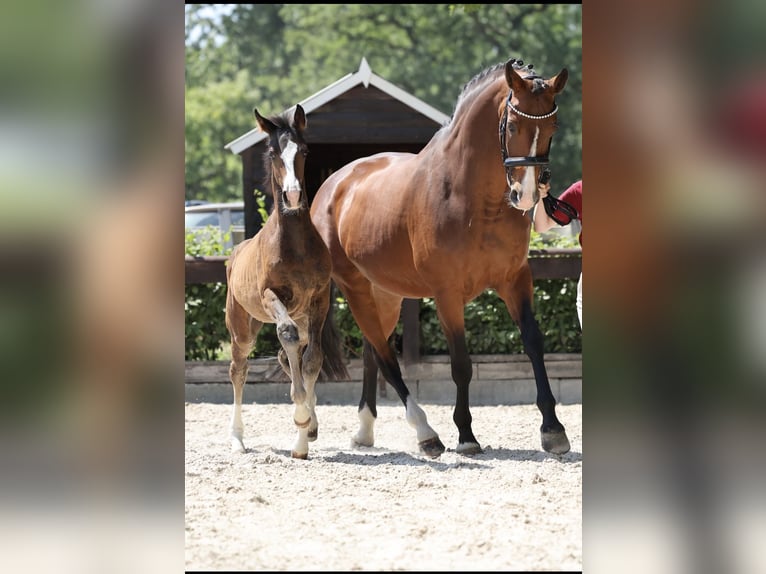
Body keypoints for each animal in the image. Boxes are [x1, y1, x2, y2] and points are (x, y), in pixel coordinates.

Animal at [225, 104, 348, 459]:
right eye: (272, 152)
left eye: (304, 150)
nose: (292, 197)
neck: (295, 245)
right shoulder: (272, 296)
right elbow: (288, 336)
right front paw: (301, 419)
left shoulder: (319, 299)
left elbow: (312, 360)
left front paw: (304, 436)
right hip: (242, 327)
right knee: (239, 369)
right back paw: (237, 439)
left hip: (303, 315)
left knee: (290, 355)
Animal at [310, 58, 571, 458]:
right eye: (512, 125)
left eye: (553, 126)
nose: (526, 195)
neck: (475, 199)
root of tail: (332, 185)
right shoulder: (448, 293)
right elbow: (461, 364)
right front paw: (466, 435)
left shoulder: (515, 279)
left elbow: (533, 343)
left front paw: (553, 429)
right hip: (354, 287)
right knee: (385, 356)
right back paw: (425, 432)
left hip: (385, 292)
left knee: (373, 350)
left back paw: (365, 431)